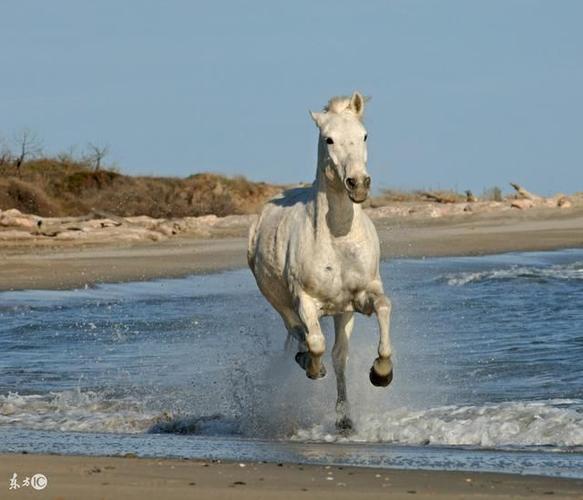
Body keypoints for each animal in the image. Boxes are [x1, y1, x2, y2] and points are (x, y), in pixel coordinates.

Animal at [249, 92, 394, 432]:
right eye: (329, 139)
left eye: (364, 135)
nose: (358, 183)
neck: (338, 237)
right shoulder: (304, 300)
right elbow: (315, 342)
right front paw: (314, 368)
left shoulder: (363, 294)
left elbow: (384, 307)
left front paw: (381, 373)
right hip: (280, 302)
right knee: (298, 332)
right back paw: (306, 362)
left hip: (342, 312)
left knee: (340, 356)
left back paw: (345, 419)